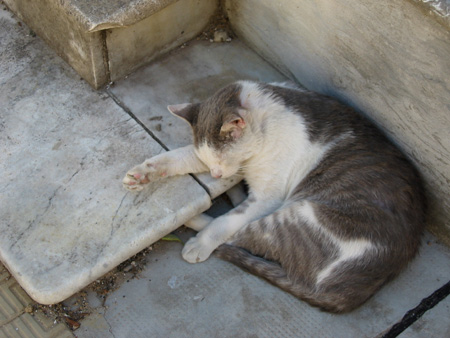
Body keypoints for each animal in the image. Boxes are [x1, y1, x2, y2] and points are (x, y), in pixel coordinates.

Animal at [122, 80, 426, 312]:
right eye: (211, 161)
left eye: (221, 159)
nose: (216, 175)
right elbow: (178, 156)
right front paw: (142, 174)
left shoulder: (267, 196)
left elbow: (226, 222)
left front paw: (203, 240)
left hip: (301, 216)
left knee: (243, 234)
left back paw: (194, 225)